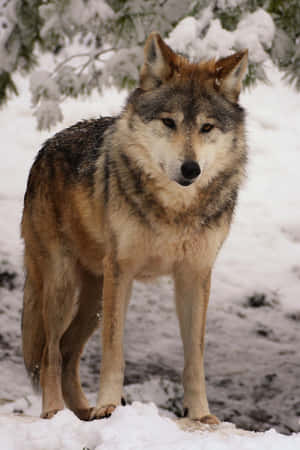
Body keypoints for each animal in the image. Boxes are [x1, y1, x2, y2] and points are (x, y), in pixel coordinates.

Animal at [21, 33, 248, 424]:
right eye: (169, 122)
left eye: (206, 127)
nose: (191, 169)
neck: (175, 210)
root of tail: (45, 148)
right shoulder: (122, 273)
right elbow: (114, 352)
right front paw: (110, 405)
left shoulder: (195, 276)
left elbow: (194, 358)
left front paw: (201, 415)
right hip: (63, 287)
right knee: (51, 353)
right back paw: (56, 411)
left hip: (94, 299)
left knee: (67, 352)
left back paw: (84, 411)